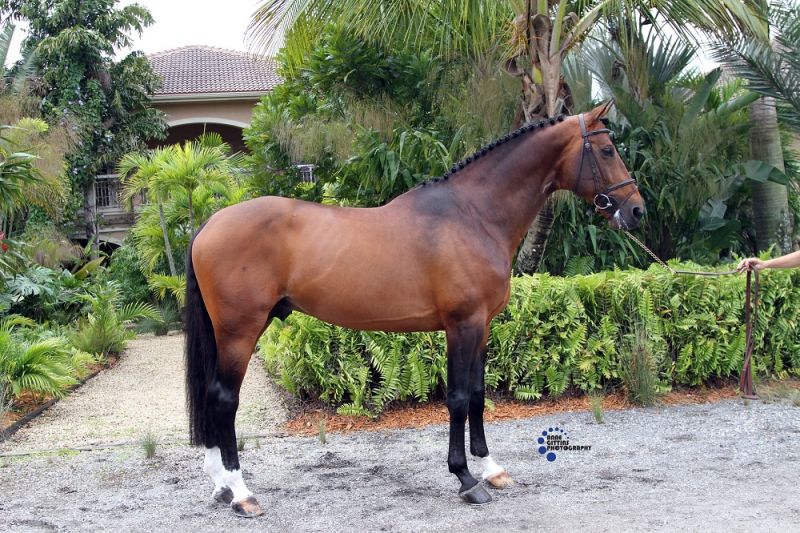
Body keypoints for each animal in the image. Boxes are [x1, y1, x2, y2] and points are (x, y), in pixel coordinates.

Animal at [184, 102, 644, 517]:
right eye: (607, 150)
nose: (637, 210)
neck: (474, 216)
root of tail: (209, 223)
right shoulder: (462, 325)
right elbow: (458, 398)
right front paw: (466, 479)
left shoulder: (483, 326)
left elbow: (478, 395)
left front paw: (491, 468)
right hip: (240, 331)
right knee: (223, 399)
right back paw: (241, 493)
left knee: (209, 397)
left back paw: (220, 486)